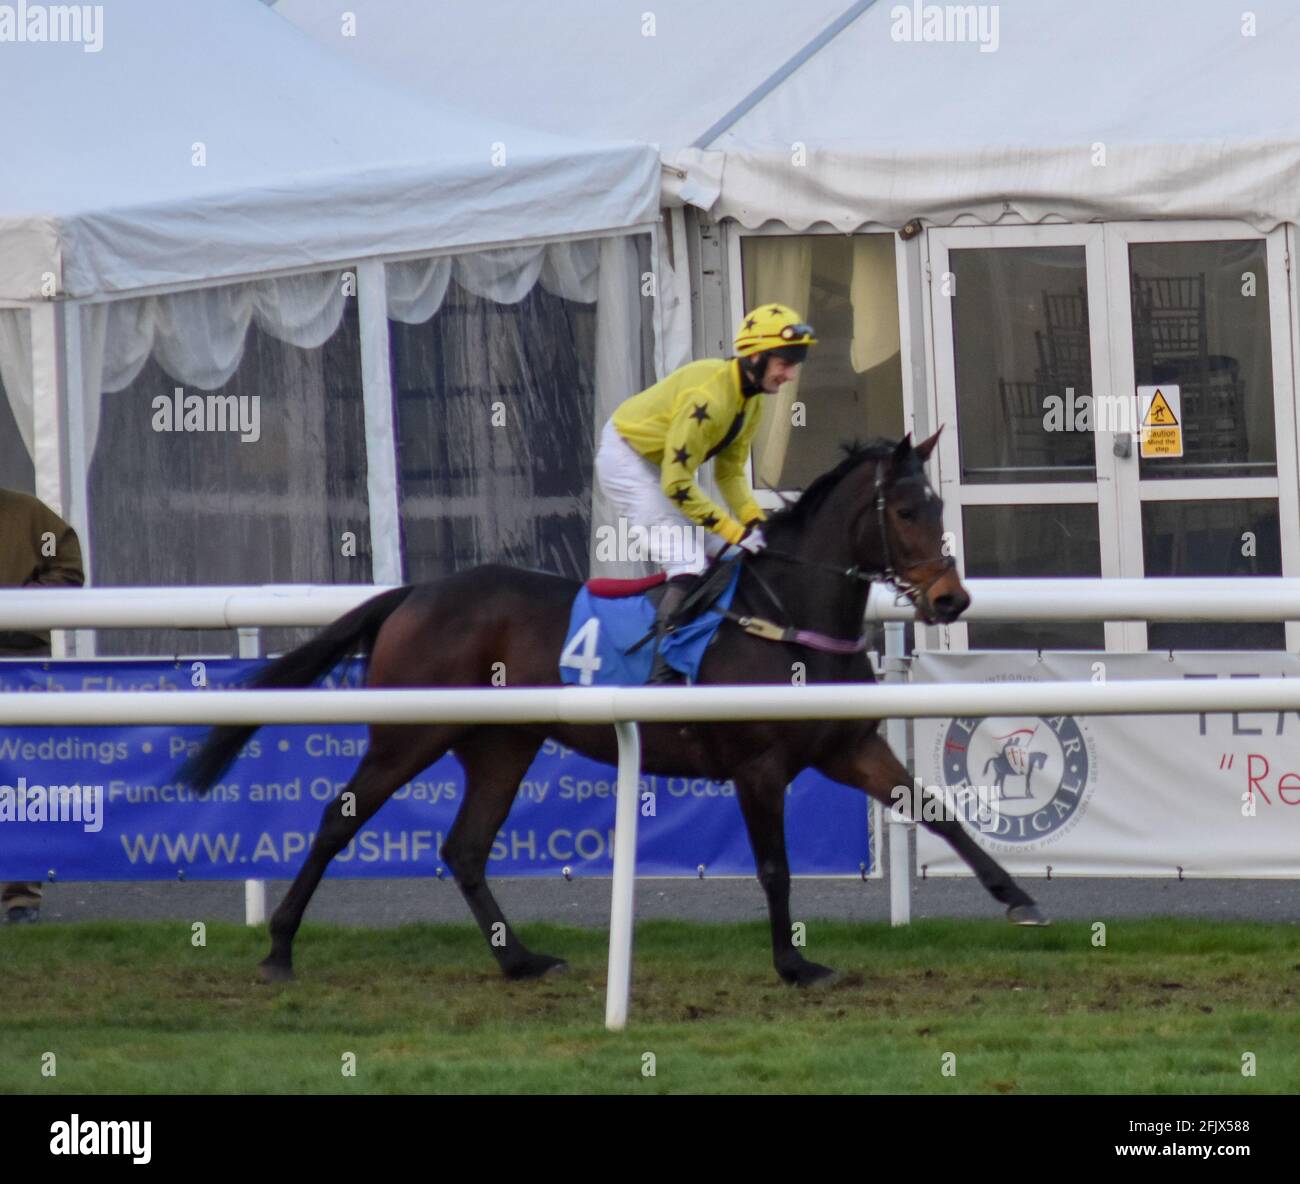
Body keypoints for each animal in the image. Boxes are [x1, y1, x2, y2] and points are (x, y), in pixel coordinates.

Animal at [180, 431, 1045, 987]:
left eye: (937, 505)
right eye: (903, 511)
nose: (951, 598)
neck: (786, 617)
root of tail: (416, 593)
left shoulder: (848, 747)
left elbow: (936, 812)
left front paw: (1020, 899)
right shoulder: (759, 767)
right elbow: (774, 866)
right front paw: (796, 965)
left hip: (502, 746)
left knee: (465, 847)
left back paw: (520, 960)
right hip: (409, 732)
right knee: (338, 817)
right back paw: (280, 950)